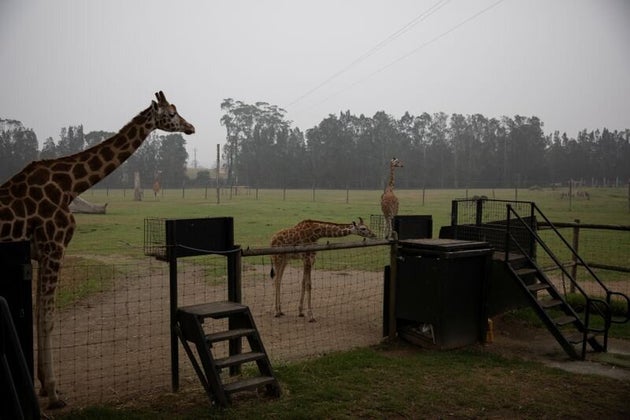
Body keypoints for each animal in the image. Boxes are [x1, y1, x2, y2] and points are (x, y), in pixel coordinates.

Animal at [0, 91, 196, 406]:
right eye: (171, 114)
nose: (191, 127)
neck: (71, 186)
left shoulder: (41, 253)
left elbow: (39, 314)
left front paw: (45, 386)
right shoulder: (54, 245)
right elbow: (48, 318)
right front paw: (53, 392)